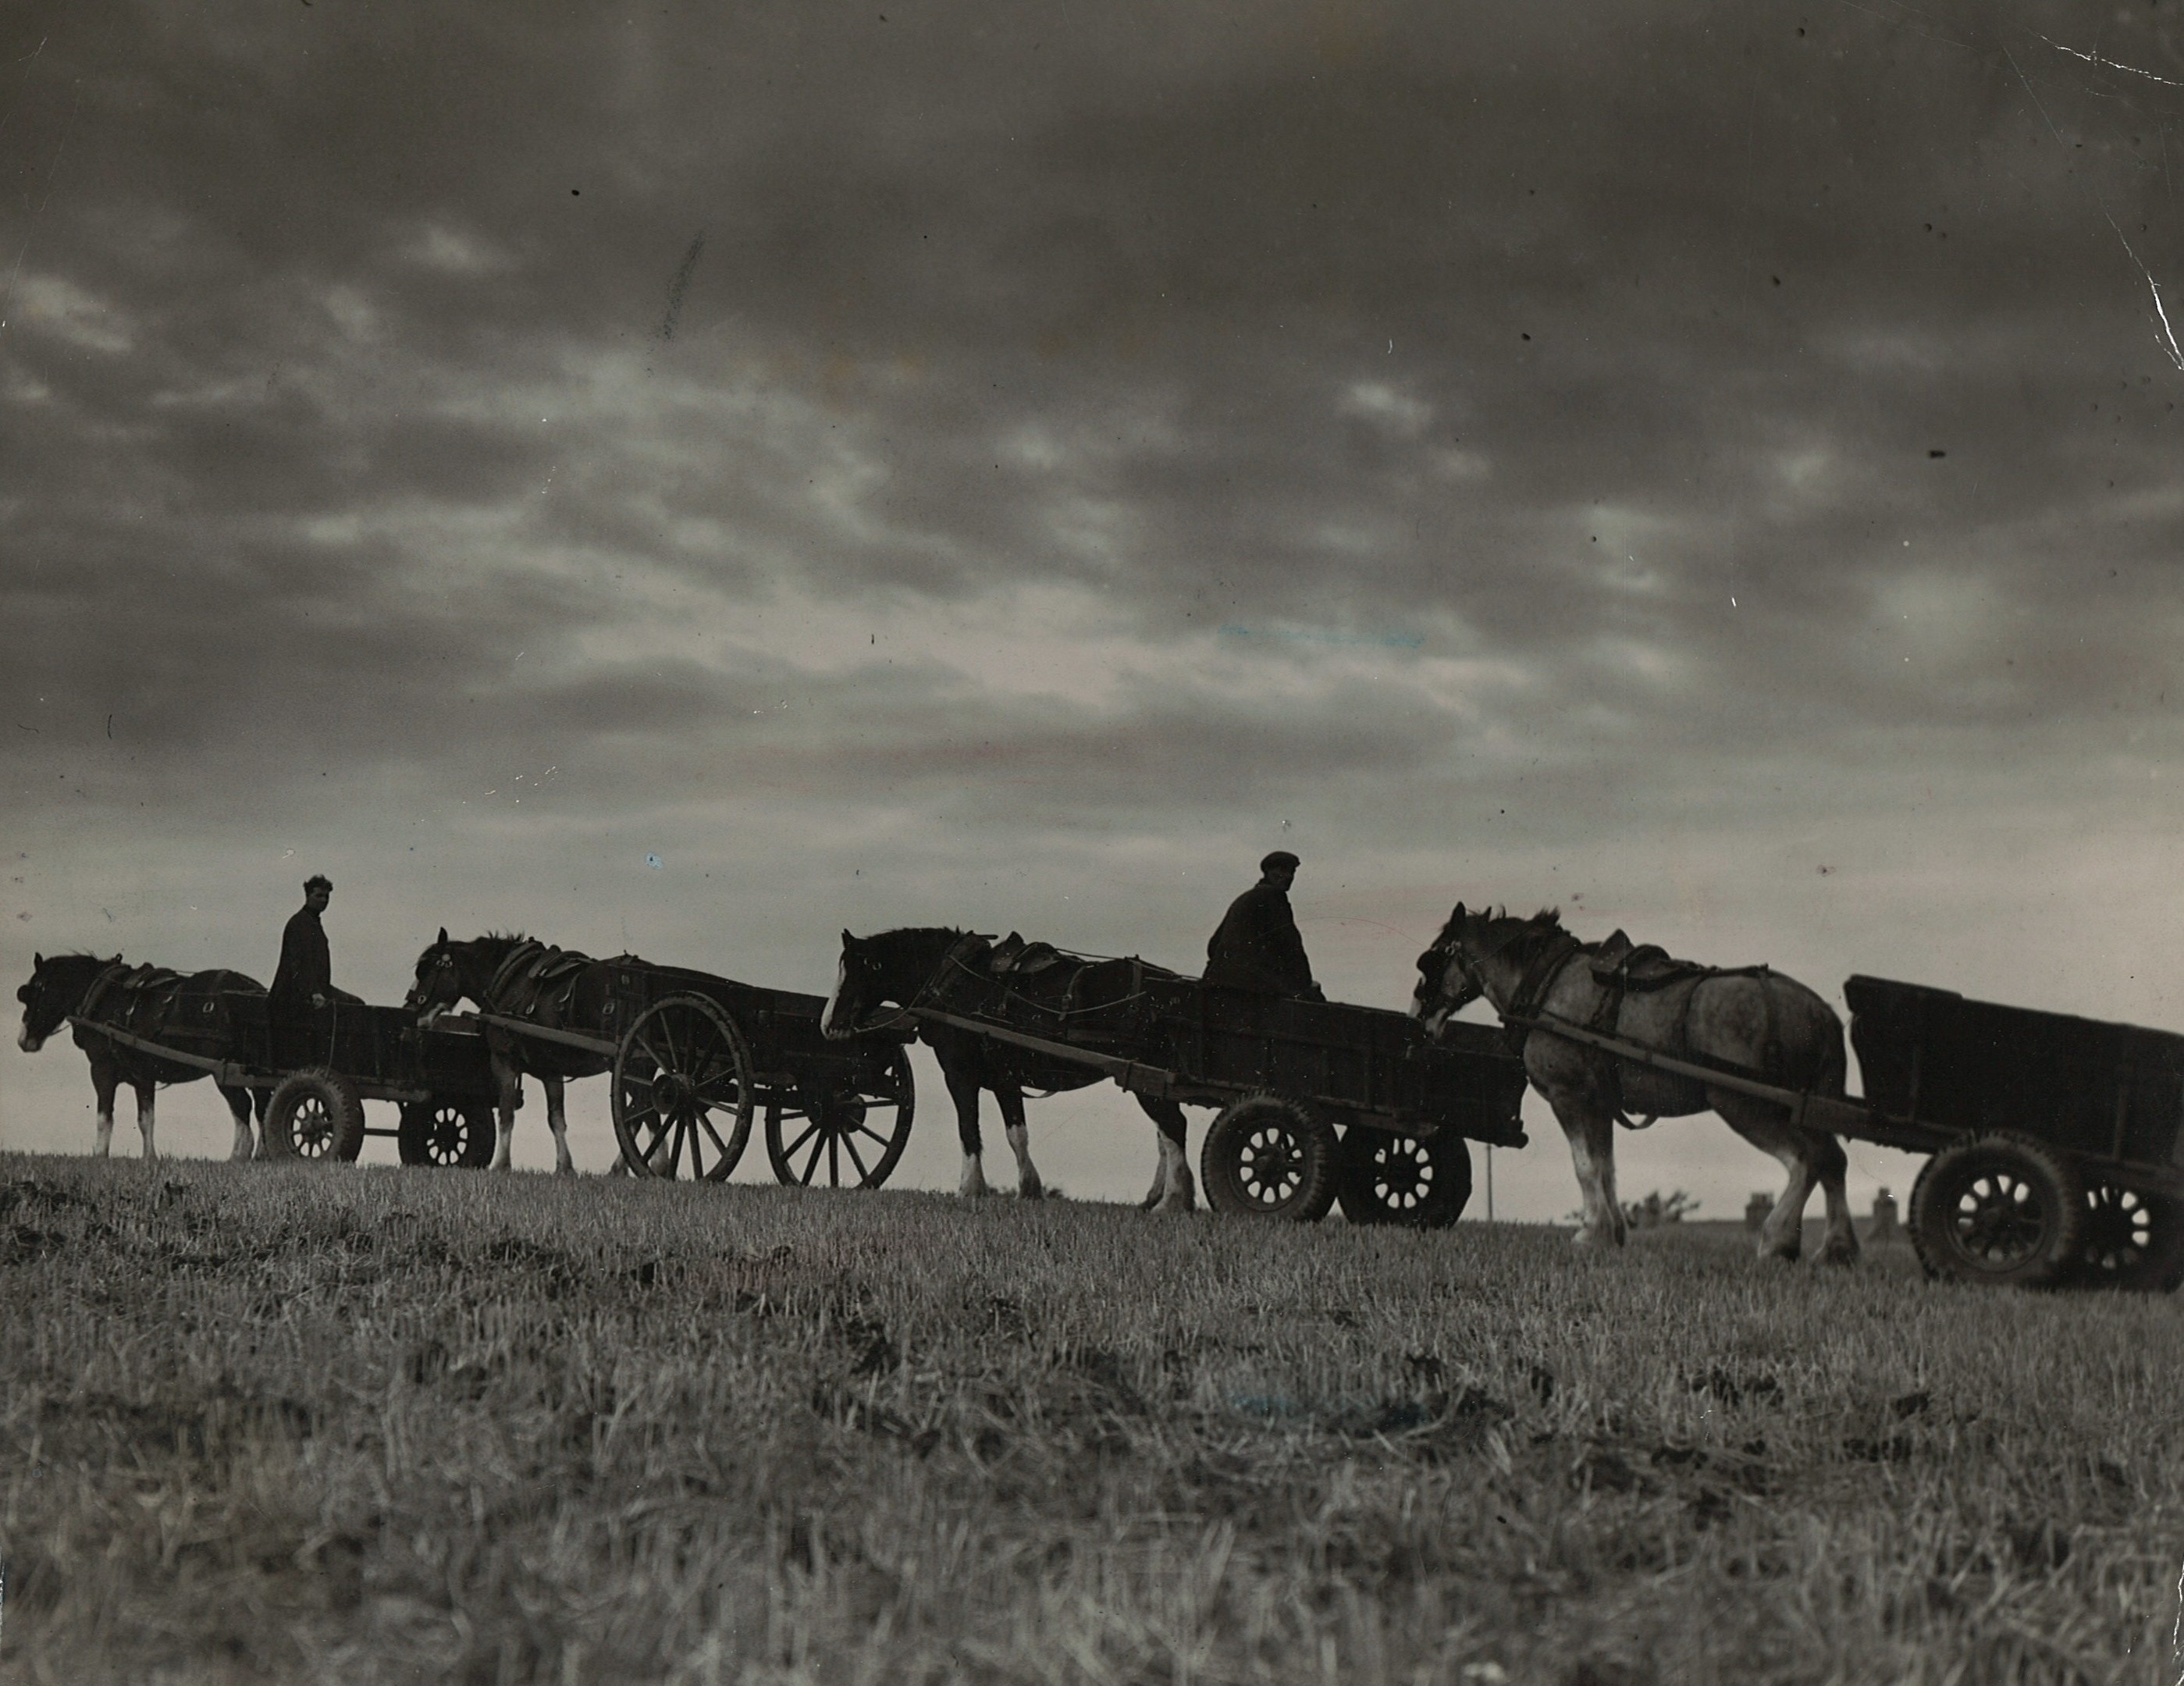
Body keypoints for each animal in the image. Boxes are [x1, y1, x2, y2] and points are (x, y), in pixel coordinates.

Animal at [16, 948, 269, 1161]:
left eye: (32, 992)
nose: (23, 1041)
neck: (105, 997)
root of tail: (254, 990)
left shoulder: (102, 1068)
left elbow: (104, 1116)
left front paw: (100, 1155)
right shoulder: (143, 1075)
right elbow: (146, 1118)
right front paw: (149, 1158)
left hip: (225, 1070)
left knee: (243, 1106)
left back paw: (240, 1155)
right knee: (262, 1105)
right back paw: (260, 1154)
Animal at [408, 934, 624, 1170]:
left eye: (426, 970)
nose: (411, 1011)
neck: (512, 981)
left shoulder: (503, 1061)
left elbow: (506, 1113)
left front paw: (501, 1164)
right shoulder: (552, 1071)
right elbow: (556, 1118)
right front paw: (564, 1166)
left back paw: (622, 1167)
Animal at [821, 921, 1197, 1214]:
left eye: (851, 973)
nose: (827, 1026)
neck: (959, 984)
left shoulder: (960, 1074)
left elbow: (968, 1129)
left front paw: (970, 1188)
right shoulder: (1005, 1079)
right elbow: (1017, 1134)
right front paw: (1028, 1189)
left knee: (1173, 1128)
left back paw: (1172, 1200)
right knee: (1165, 1133)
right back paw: (1160, 1197)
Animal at [1415, 908, 1860, 1266]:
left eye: (1433, 957)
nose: (1420, 1014)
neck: (1547, 984)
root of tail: (1820, 1012)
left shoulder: (1568, 1096)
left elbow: (1584, 1166)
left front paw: (1589, 1232)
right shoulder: (1598, 1103)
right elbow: (1606, 1167)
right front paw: (1612, 1234)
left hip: (1745, 1105)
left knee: (1804, 1161)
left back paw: (1777, 1242)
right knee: (1833, 1160)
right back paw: (1837, 1249)